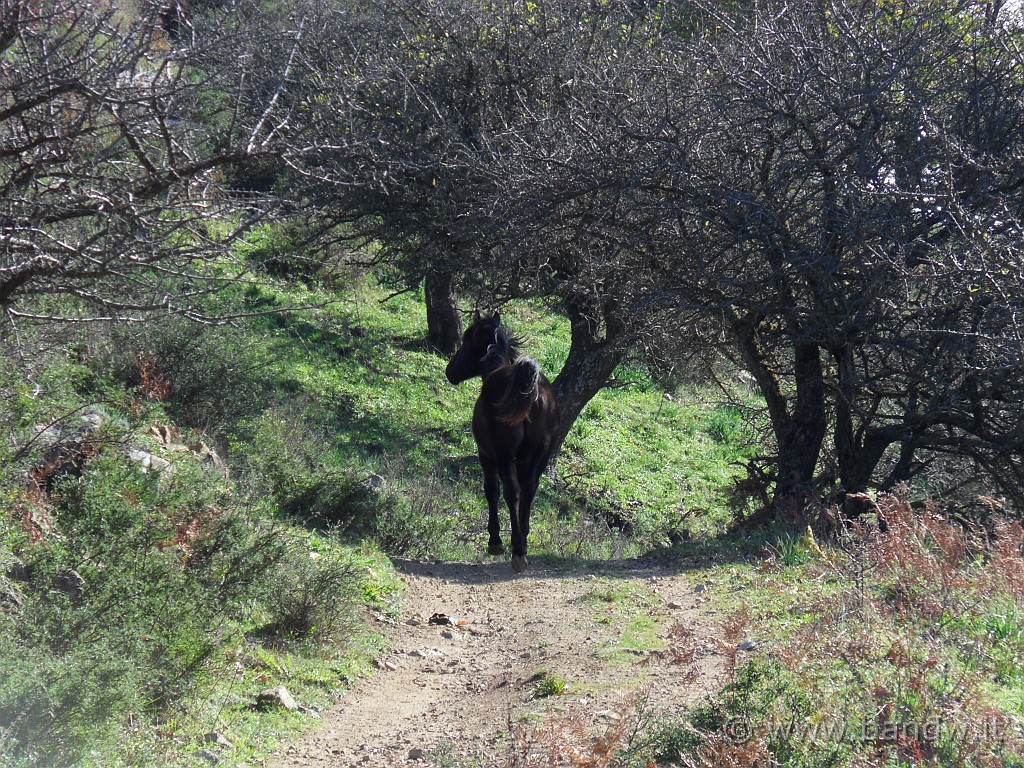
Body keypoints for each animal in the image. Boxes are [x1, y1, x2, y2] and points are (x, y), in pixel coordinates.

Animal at [444, 311, 561, 573]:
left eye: (466, 339)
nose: (450, 371)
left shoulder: (486, 455)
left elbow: (492, 490)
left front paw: (495, 540)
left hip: (504, 454)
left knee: (511, 491)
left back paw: (516, 550)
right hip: (538, 456)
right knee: (529, 489)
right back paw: (522, 543)